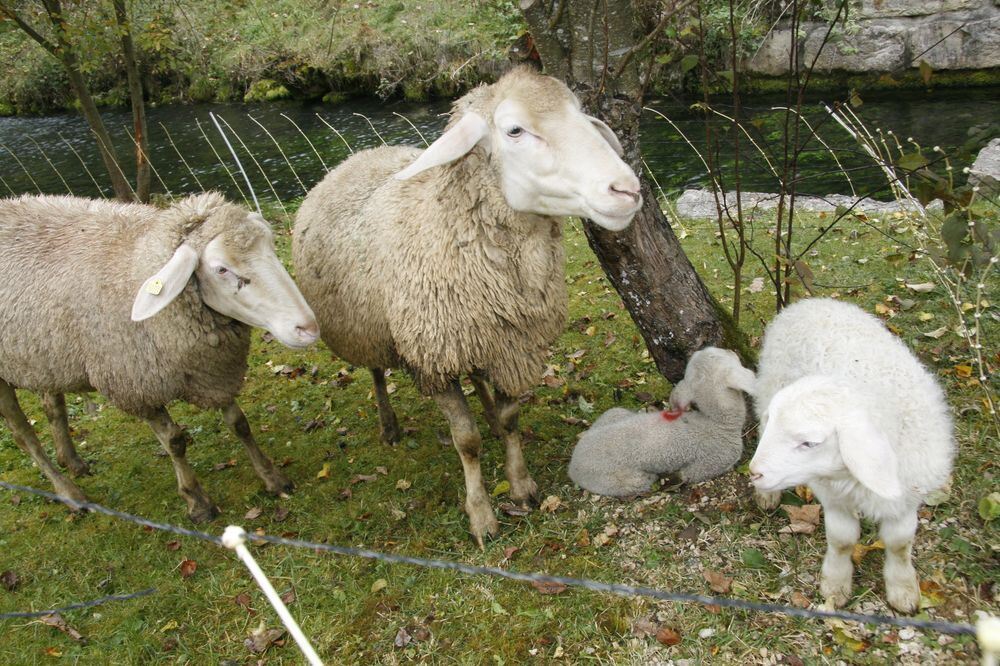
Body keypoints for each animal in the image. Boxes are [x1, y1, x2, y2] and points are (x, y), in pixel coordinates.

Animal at [0, 191, 318, 520]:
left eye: (271, 248)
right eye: (221, 269)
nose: (308, 328)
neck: (140, 263)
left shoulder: (212, 370)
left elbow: (239, 423)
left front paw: (273, 478)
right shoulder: (137, 386)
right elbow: (174, 441)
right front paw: (197, 501)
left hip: (42, 356)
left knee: (52, 405)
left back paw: (72, 461)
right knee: (23, 435)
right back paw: (69, 492)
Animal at [292, 66, 644, 544]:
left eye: (580, 114)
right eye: (514, 130)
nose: (627, 190)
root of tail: (357, 157)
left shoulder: (513, 346)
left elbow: (512, 418)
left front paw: (521, 486)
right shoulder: (435, 358)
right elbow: (466, 441)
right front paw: (481, 515)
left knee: (478, 376)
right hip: (371, 324)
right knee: (378, 370)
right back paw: (389, 425)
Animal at [568, 344, 752, 496]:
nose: (731, 350)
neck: (717, 422)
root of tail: (573, 463)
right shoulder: (719, 458)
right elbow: (690, 474)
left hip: (614, 413)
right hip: (613, 479)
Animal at [748, 298, 956, 608]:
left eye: (809, 443)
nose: (755, 473)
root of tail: (810, 302)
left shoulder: (907, 495)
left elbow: (900, 543)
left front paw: (903, 589)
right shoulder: (834, 496)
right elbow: (842, 540)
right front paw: (836, 584)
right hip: (770, 383)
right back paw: (767, 496)